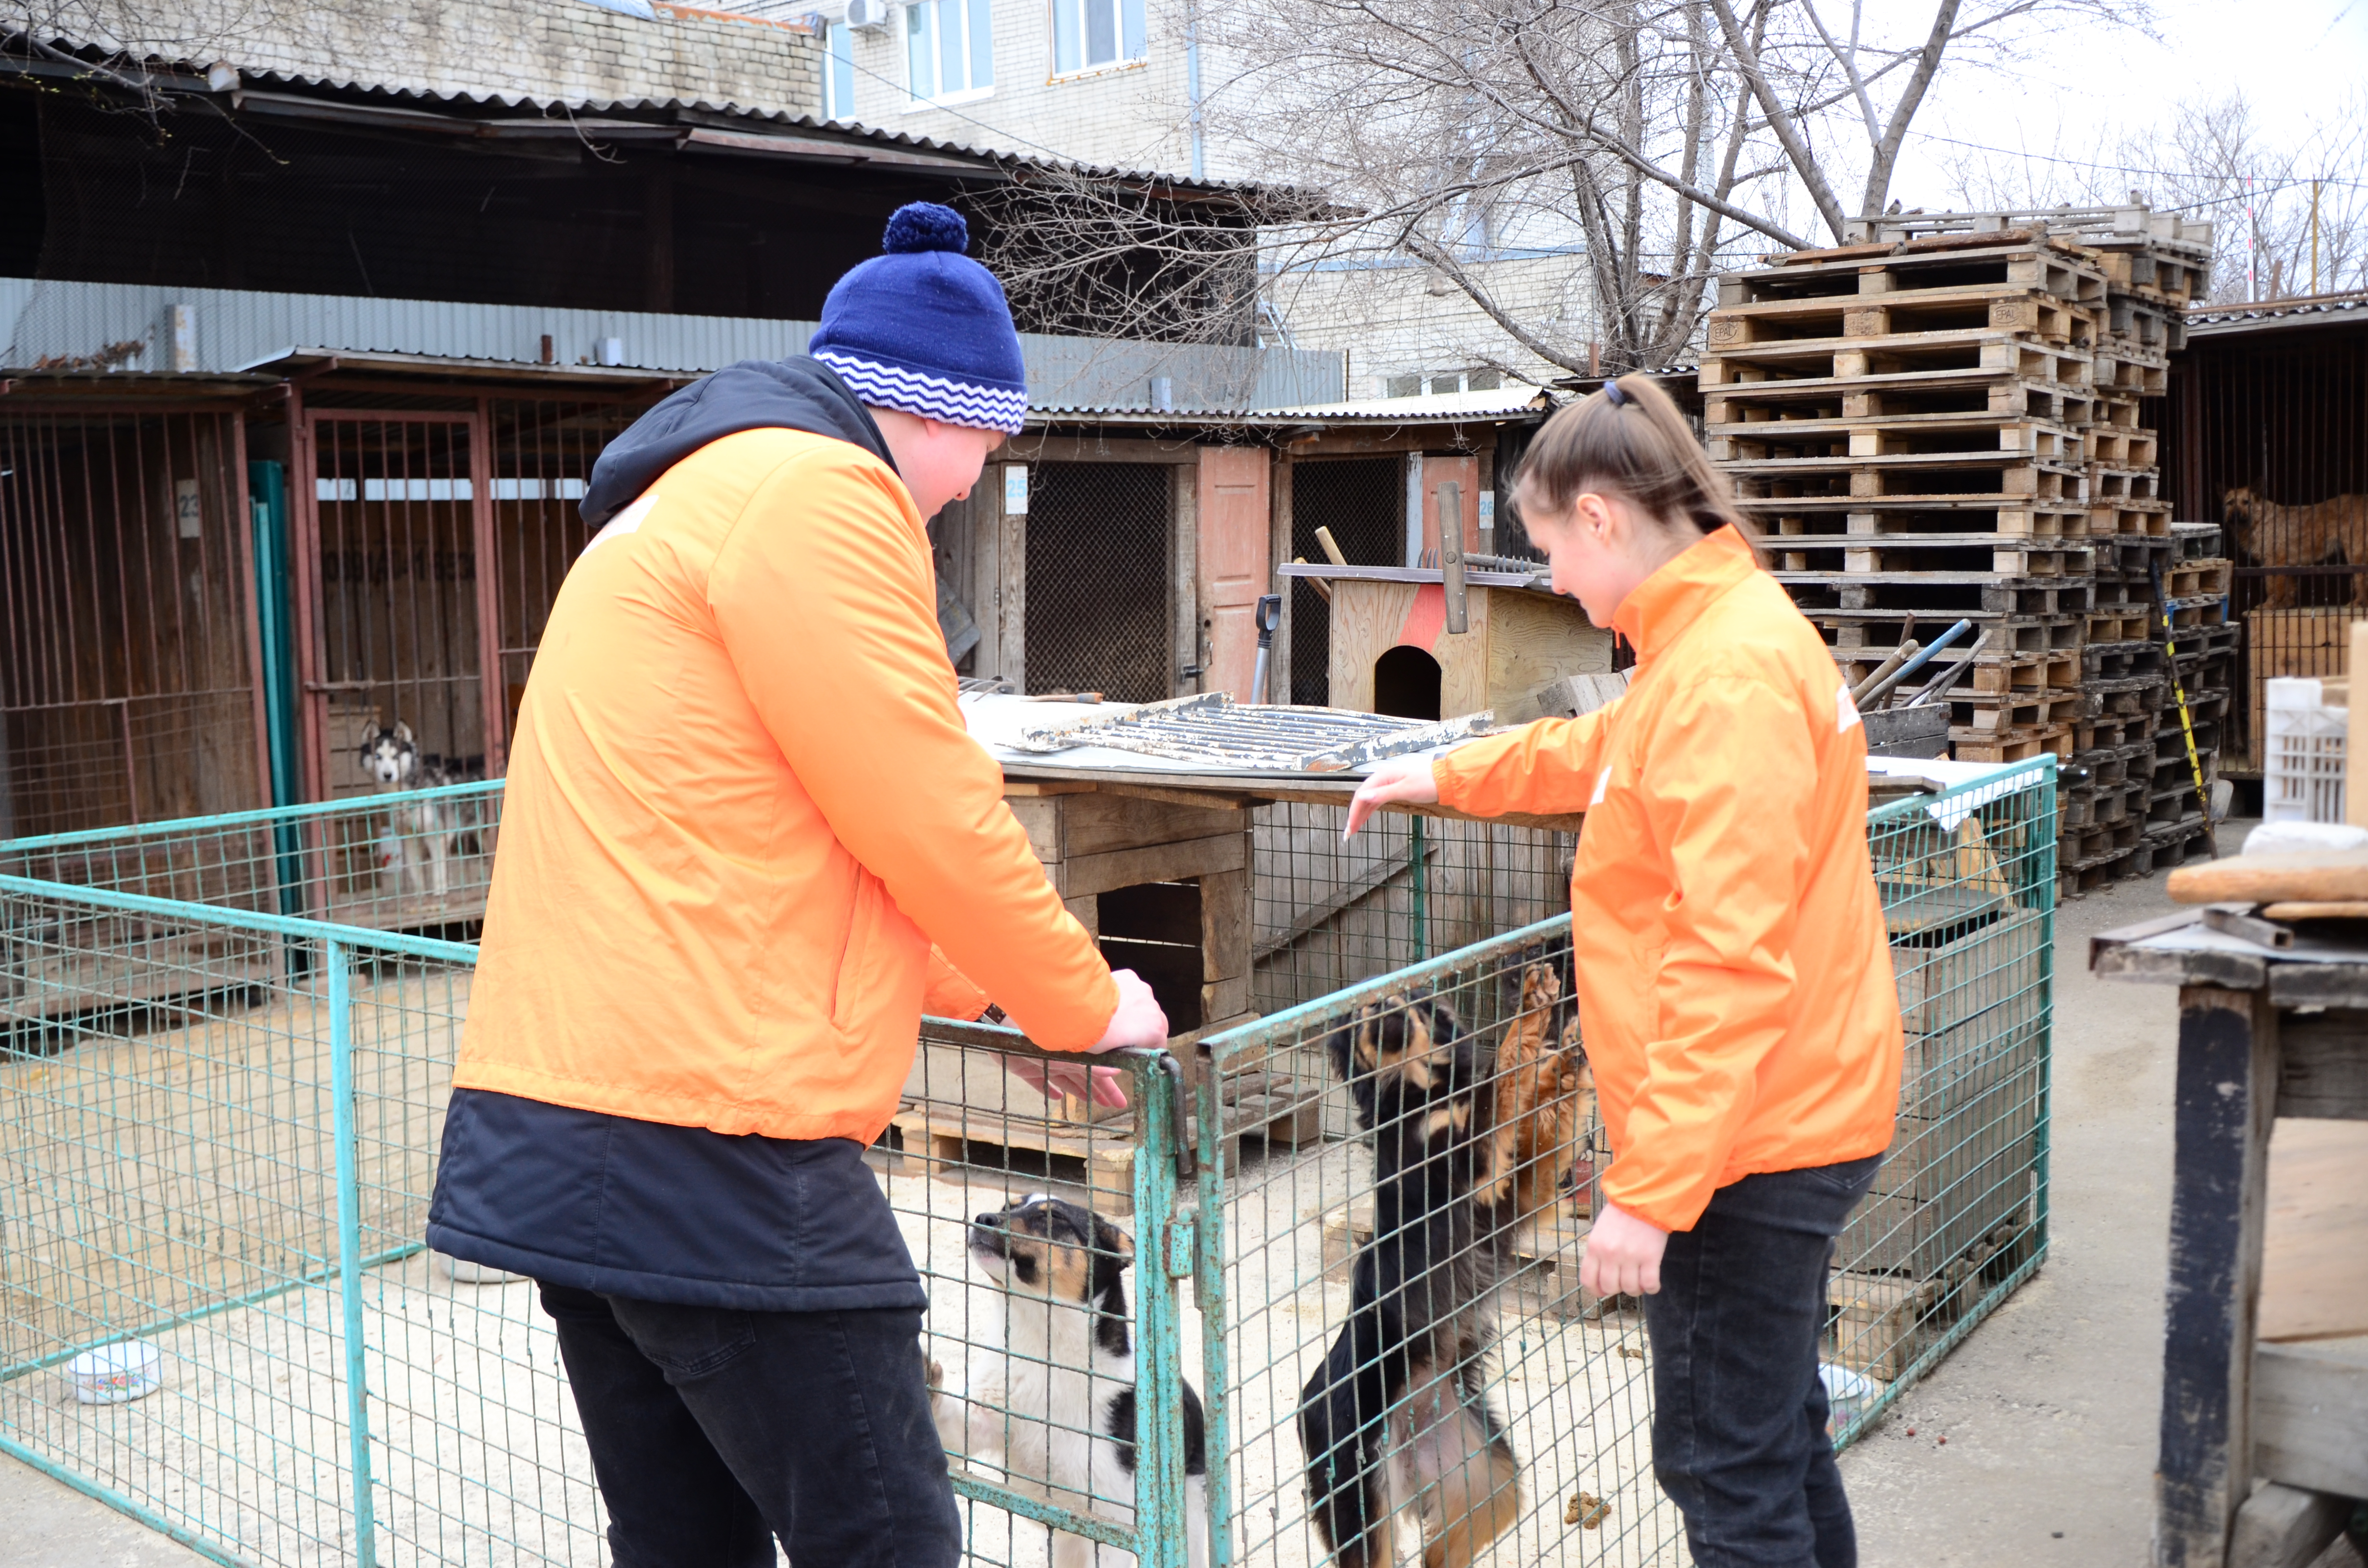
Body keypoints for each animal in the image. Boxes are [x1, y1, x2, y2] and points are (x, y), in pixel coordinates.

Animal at [355, 724, 485, 895]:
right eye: (378, 756)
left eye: (396, 756)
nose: (388, 775)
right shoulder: (409, 835)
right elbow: (415, 870)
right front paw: (420, 894)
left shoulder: (436, 834)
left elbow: (438, 868)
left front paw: (440, 892)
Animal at [928, 1198, 1212, 1563]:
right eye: (1008, 1205)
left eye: (1054, 1217)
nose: (983, 1217)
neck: (1046, 1355)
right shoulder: (977, 1421)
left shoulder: (1111, 1527)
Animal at [1297, 971, 1591, 1568]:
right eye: (1361, 1014)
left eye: (1406, 1003)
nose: (1384, 1011)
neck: (1417, 1093)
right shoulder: (1470, 1166)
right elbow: (1500, 1082)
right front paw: (1530, 1021)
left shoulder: (1517, 1193)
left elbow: (1538, 1119)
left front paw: (1568, 1058)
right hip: (1360, 1503)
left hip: (1487, 1481)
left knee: (1441, 1550)